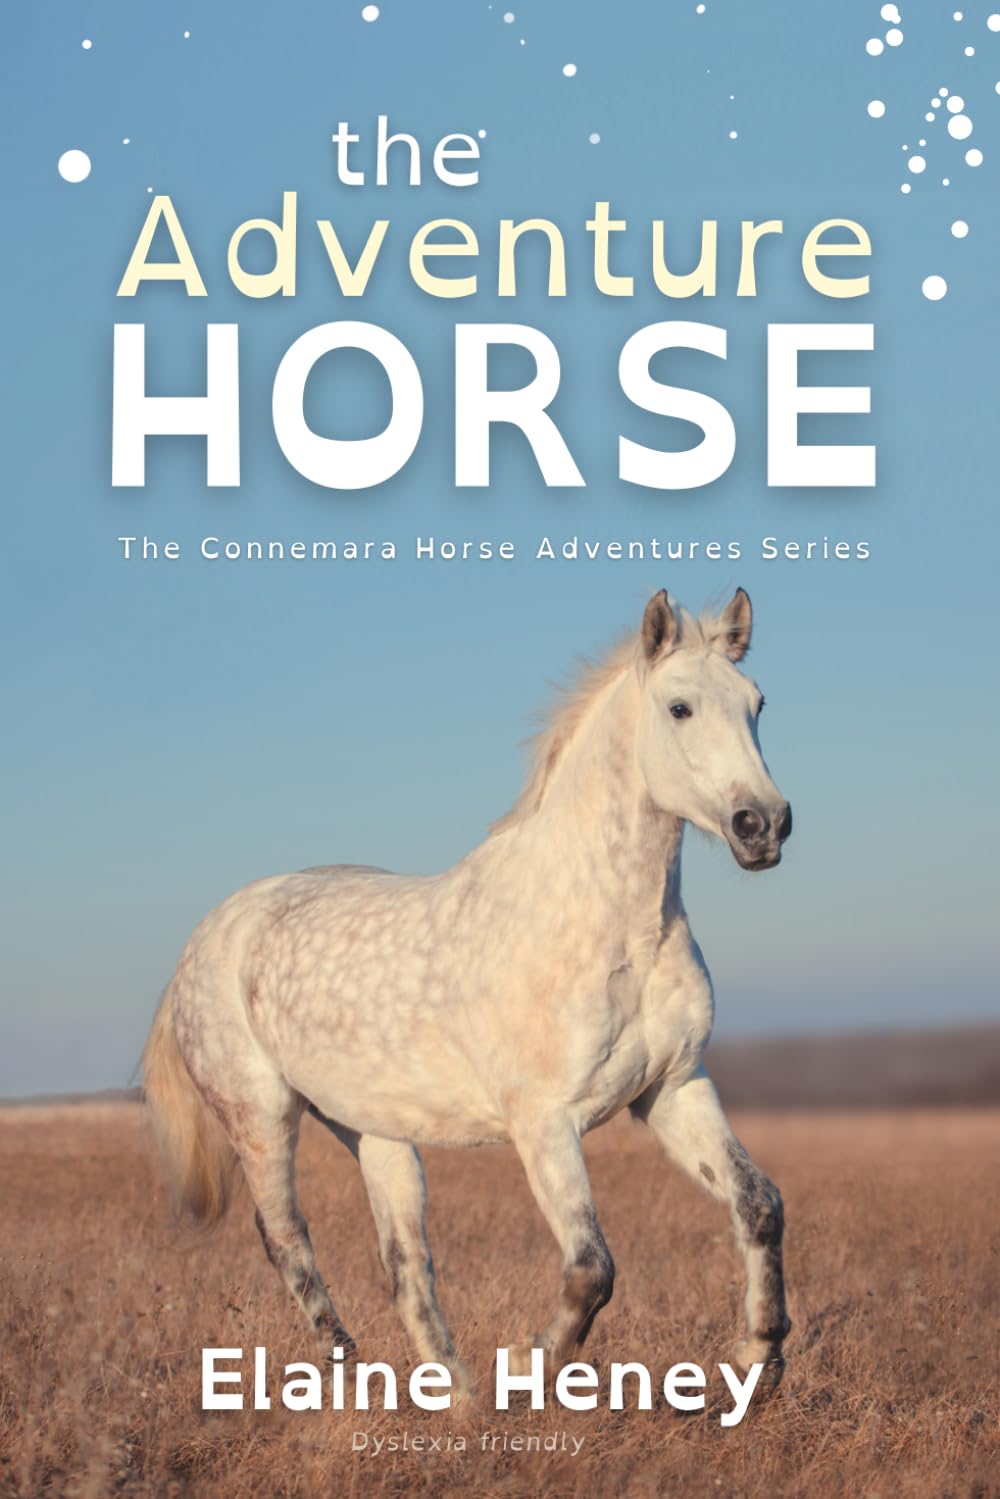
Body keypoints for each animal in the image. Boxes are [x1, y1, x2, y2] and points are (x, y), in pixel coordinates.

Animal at [143, 587, 793, 1394]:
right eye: (679, 707)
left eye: (756, 702)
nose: (763, 825)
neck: (616, 929)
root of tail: (207, 936)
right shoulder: (544, 1122)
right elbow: (592, 1268)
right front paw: (523, 1367)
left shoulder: (673, 1089)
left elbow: (758, 1205)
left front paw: (758, 1357)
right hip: (259, 1116)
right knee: (287, 1239)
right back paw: (350, 1371)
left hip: (374, 1132)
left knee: (404, 1260)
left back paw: (452, 1395)